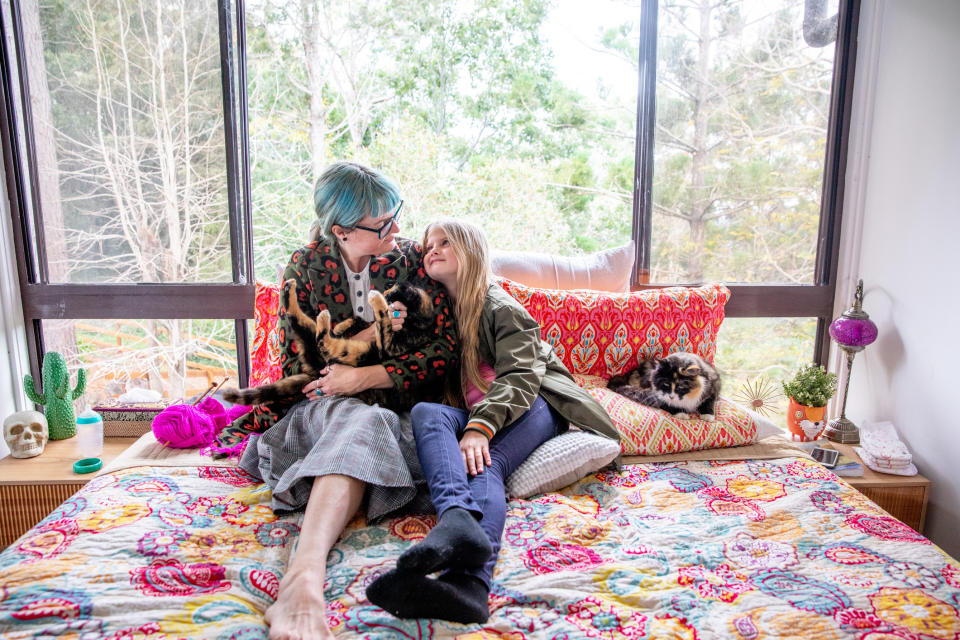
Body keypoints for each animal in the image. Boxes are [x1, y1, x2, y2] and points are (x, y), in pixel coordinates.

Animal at [223, 278, 436, 410]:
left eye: (393, 291)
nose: (385, 291)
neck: (419, 319)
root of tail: (315, 372)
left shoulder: (390, 345)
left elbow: (382, 317)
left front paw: (376, 299)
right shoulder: (376, 331)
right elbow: (361, 320)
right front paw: (342, 327)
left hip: (357, 353)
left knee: (322, 343)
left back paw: (322, 317)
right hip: (320, 343)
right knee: (300, 322)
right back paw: (293, 292)